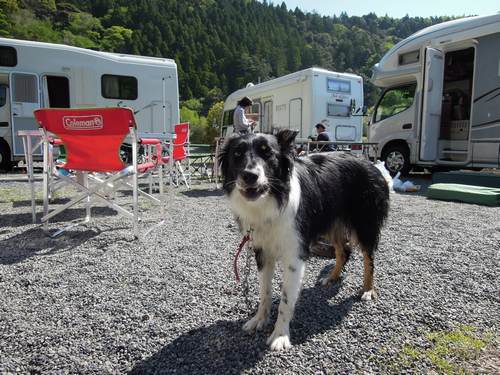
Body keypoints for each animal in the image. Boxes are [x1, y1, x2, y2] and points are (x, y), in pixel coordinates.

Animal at [220, 131, 390, 352]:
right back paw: (331, 278)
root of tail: (372, 164)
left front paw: (280, 335)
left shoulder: (295, 254)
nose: (250, 175)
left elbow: (285, 300)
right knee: (343, 251)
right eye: (237, 153)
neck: (272, 199)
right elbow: (265, 291)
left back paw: (368, 290)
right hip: (331, 222)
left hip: (364, 223)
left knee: (369, 258)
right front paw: (259, 319)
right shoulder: (262, 251)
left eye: (268, 153)